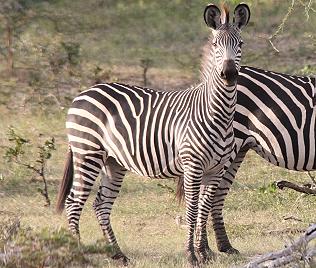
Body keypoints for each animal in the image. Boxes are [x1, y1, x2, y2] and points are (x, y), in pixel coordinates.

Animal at [55, 3, 251, 266]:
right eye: (215, 45)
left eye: (240, 44)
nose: (229, 74)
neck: (218, 114)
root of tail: (83, 92)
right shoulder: (193, 165)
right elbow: (191, 211)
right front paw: (191, 255)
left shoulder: (216, 169)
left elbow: (204, 209)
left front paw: (204, 253)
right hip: (87, 152)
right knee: (74, 202)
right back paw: (79, 254)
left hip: (113, 161)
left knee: (101, 204)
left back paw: (119, 254)